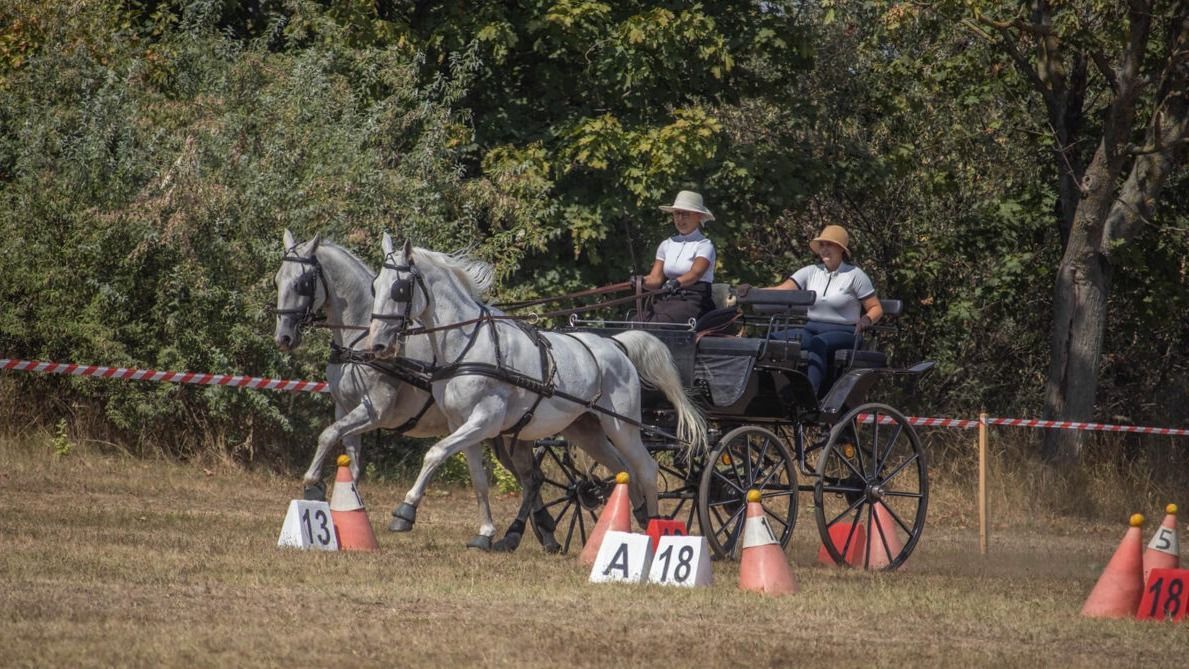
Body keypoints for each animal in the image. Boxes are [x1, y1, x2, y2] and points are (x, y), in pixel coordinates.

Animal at [368, 234, 703, 534]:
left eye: (399, 289)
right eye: (375, 285)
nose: (377, 345)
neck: (469, 345)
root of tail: (617, 345)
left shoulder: (485, 420)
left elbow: (435, 453)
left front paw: (405, 512)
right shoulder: (460, 424)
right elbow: (477, 478)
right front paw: (486, 532)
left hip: (623, 426)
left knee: (645, 469)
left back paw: (654, 526)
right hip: (586, 430)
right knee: (624, 470)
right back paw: (629, 524)